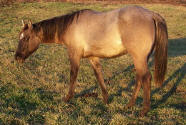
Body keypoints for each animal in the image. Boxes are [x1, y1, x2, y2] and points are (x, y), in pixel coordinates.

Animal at [15, 5, 168, 115]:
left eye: (26, 38)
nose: (17, 57)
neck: (70, 27)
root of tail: (151, 14)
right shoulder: (92, 57)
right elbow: (98, 75)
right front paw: (106, 99)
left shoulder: (74, 55)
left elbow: (73, 75)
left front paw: (67, 98)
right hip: (141, 58)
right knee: (139, 78)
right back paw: (129, 105)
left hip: (139, 58)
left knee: (146, 78)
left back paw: (144, 110)